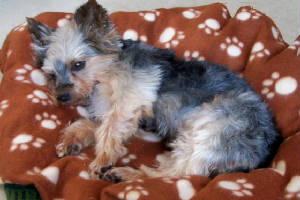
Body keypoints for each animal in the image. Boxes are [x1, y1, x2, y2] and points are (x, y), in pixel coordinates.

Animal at [27, 0, 280, 181]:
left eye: (78, 64)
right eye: (51, 75)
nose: (62, 97)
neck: (105, 73)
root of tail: (265, 152)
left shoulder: (129, 100)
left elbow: (109, 129)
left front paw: (102, 159)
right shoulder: (116, 111)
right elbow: (89, 124)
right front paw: (71, 139)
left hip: (213, 127)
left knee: (180, 173)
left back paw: (127, 174)